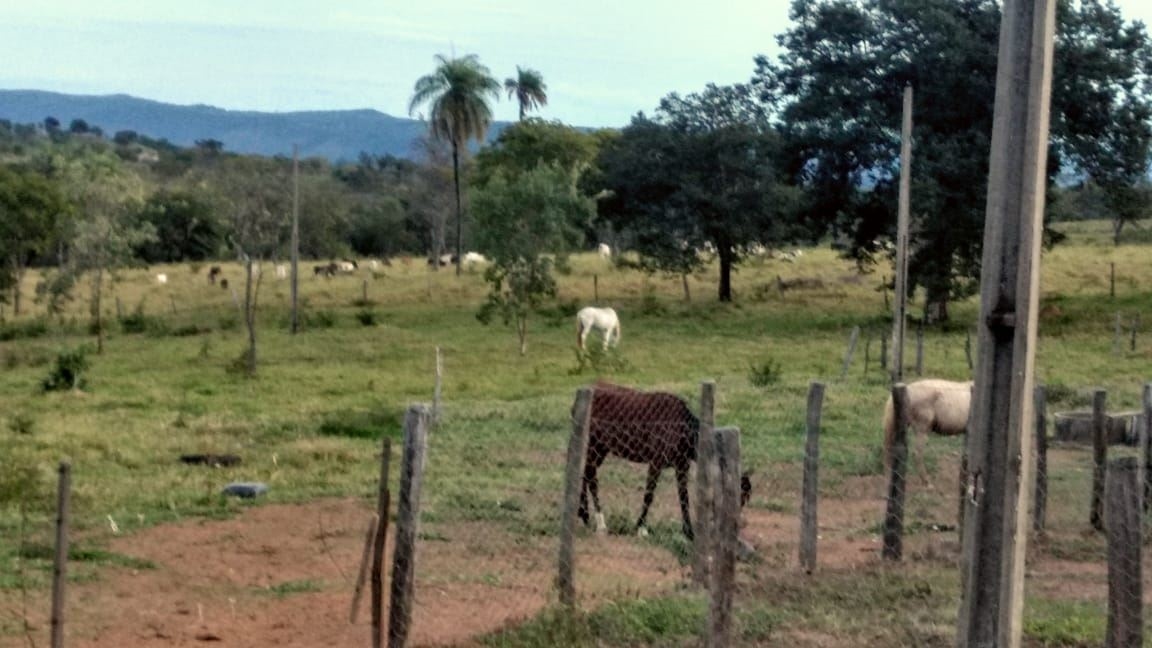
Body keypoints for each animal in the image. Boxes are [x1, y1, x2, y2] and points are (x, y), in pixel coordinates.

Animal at [576, 380, 755, 537]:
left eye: (746, 497)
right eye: (739, 495)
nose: (736, 525)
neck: (683, 431)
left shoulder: (682, 466)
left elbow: (684, 497)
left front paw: (689, 532)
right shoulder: (656, 463)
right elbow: (649, 495)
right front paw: (641, 528)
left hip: (601, 450)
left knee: (586, 474)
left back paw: (583, 515)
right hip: (594, 446)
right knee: (591, 477)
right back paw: (600, 524)